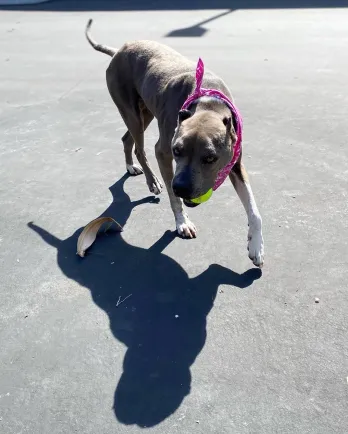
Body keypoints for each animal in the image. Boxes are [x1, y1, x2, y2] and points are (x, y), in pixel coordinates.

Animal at [84, 19, 264, 268]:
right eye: (177, 151)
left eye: (210, 158)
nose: (182, 187)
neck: (208, 103)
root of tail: (119, 50)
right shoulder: (163, 152)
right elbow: (173, 197)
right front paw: (182, 222)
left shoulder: (236, 164)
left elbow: (254, 210)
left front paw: (256, 246)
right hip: (132, 114)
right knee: (140, 148)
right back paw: (151, 180)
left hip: (144, 114)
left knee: (127, 139)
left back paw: (131, 167)